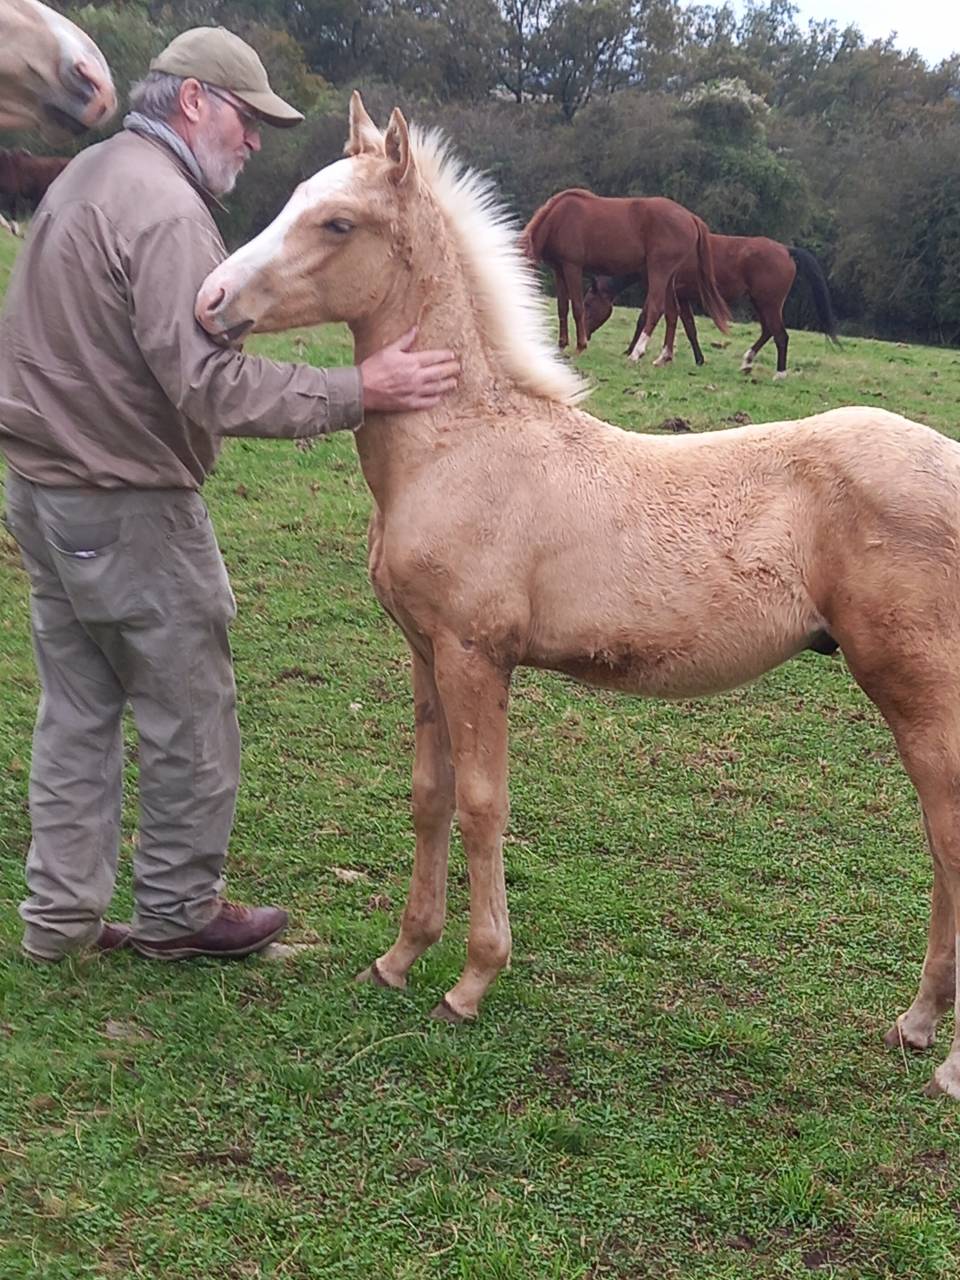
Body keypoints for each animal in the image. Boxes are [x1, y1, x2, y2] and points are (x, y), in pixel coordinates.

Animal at [519, 187, 731, 358]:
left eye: (590, 304)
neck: (559, 218)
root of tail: (691, 217)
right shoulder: (559, 270)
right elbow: (562, 307)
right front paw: (561, 345)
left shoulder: (572, 267)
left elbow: (576, 307)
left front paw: (580, 346)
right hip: (669, 276)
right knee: (672, 312)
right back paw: (663, 357)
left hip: (659, 272)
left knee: (656, 308)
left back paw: (637, 353)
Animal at [583, 234, 839, 379]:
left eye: (587, 303)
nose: (584, 335)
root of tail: (786, 250)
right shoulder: (682, 296)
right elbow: (688, 326)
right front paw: (697, 358)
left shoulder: (666, 292)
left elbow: (652, 318)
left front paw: (636, 351)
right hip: (760, 302)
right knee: (768, 331)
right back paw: (747, 361)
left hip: (769, 303)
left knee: (781, 336)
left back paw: (780, 373)